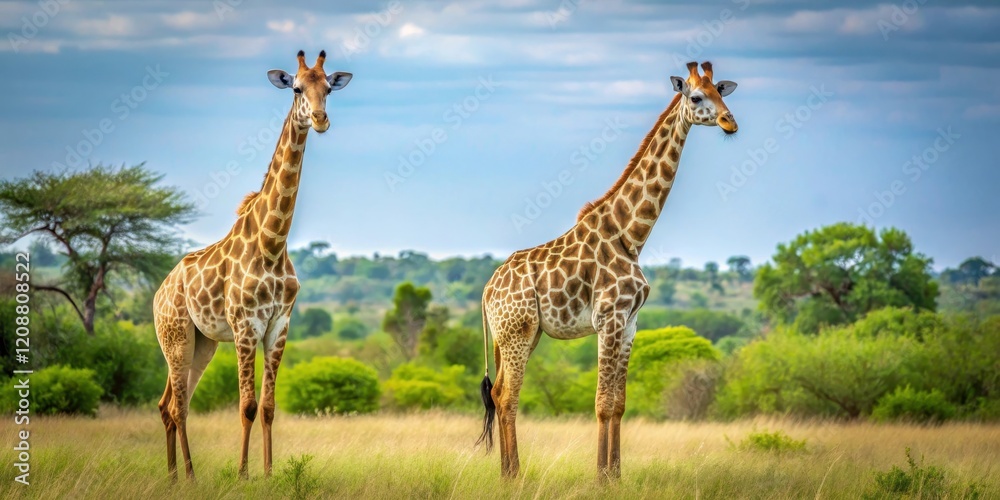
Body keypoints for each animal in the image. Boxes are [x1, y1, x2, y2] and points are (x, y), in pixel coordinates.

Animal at [152, 50, 352, 482]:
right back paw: (189, 476)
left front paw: (270, 472)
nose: (320, 119)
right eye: (296, 88)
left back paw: (174, 475)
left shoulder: (279, 325)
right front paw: (244, 474)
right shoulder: (246, 326)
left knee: (169, 405)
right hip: (175, 336)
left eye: (328, 88)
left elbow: (269, 407)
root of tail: (159, 291)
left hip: (202, 343)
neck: (272, 244)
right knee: (177, 406)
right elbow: (246, 406)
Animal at [476, 62, 737, 479]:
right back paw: (514, 475)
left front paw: (615, 475)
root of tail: (487, 291)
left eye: (722, 92)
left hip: (520, 336)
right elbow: (601, 403)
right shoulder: (609, 319)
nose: (730, 123)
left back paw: (506, 473)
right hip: (516, 333)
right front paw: (600, 477)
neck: (631, 235)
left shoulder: (630, 323)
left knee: (499, 394)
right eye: (697, 96)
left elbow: (618, 404)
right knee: (508, 397)